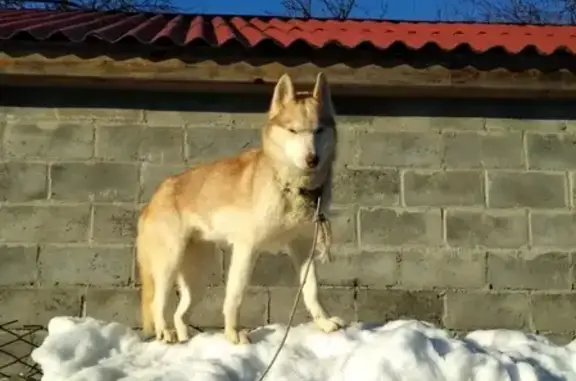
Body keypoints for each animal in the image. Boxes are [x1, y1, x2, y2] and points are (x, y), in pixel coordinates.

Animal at [137, 72, 344, 344]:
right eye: (293, 130)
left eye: (318, 130)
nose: (312, 159)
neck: (290, 186)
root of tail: (156, 194)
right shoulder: (246, 249)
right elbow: (235, 296)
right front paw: (233, 333)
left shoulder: (303, 249)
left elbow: (312, 291)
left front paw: (324, 323)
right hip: (169, 264)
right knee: (158, 305)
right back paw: (166, 334)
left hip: (199, 275)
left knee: (180, 314)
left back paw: (184, 340)